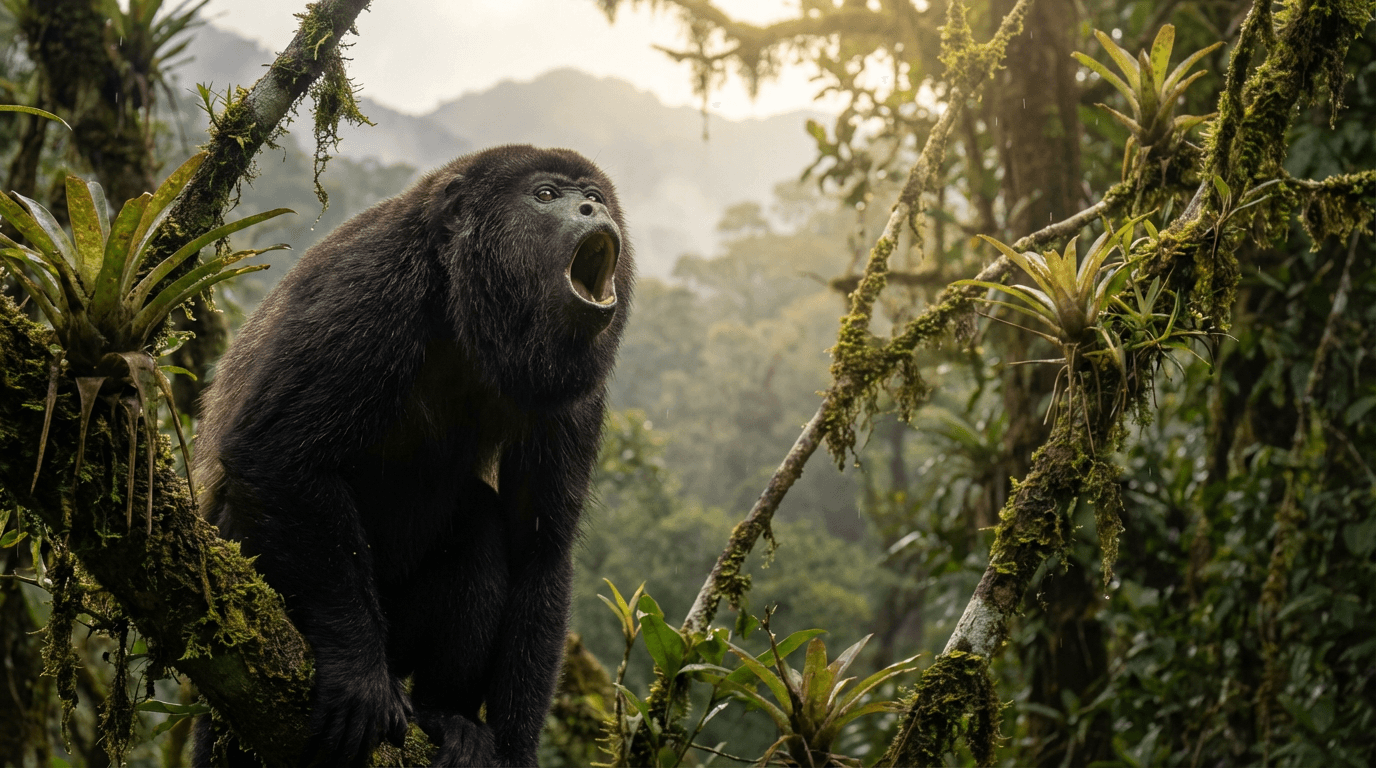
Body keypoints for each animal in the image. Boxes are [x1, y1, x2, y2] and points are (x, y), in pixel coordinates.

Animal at [190, 145, 633, 767]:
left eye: (591, 194)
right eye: (546, 195)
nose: (594, 208)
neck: (463, 304)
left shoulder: (576, 393)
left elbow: (541, 547)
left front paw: (515, 748)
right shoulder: (372, 288)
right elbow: (274, 452)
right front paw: (358, 675)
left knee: (480, 526)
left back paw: (446, 715)